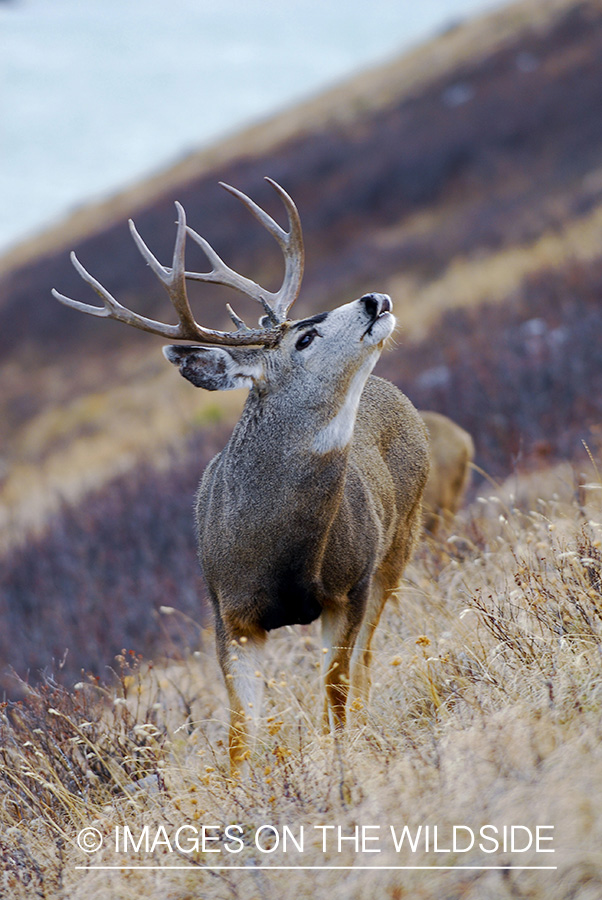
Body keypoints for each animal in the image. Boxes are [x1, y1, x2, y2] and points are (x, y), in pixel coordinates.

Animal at [50, 178, 426, 772]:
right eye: (303, 339)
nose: (374, 298)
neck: (279, 554)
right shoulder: (228, 614)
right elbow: (240, 733)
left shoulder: (349, 586)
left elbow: (335, 689)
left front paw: (338, 759)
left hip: (400, 540)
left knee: (364, 658)